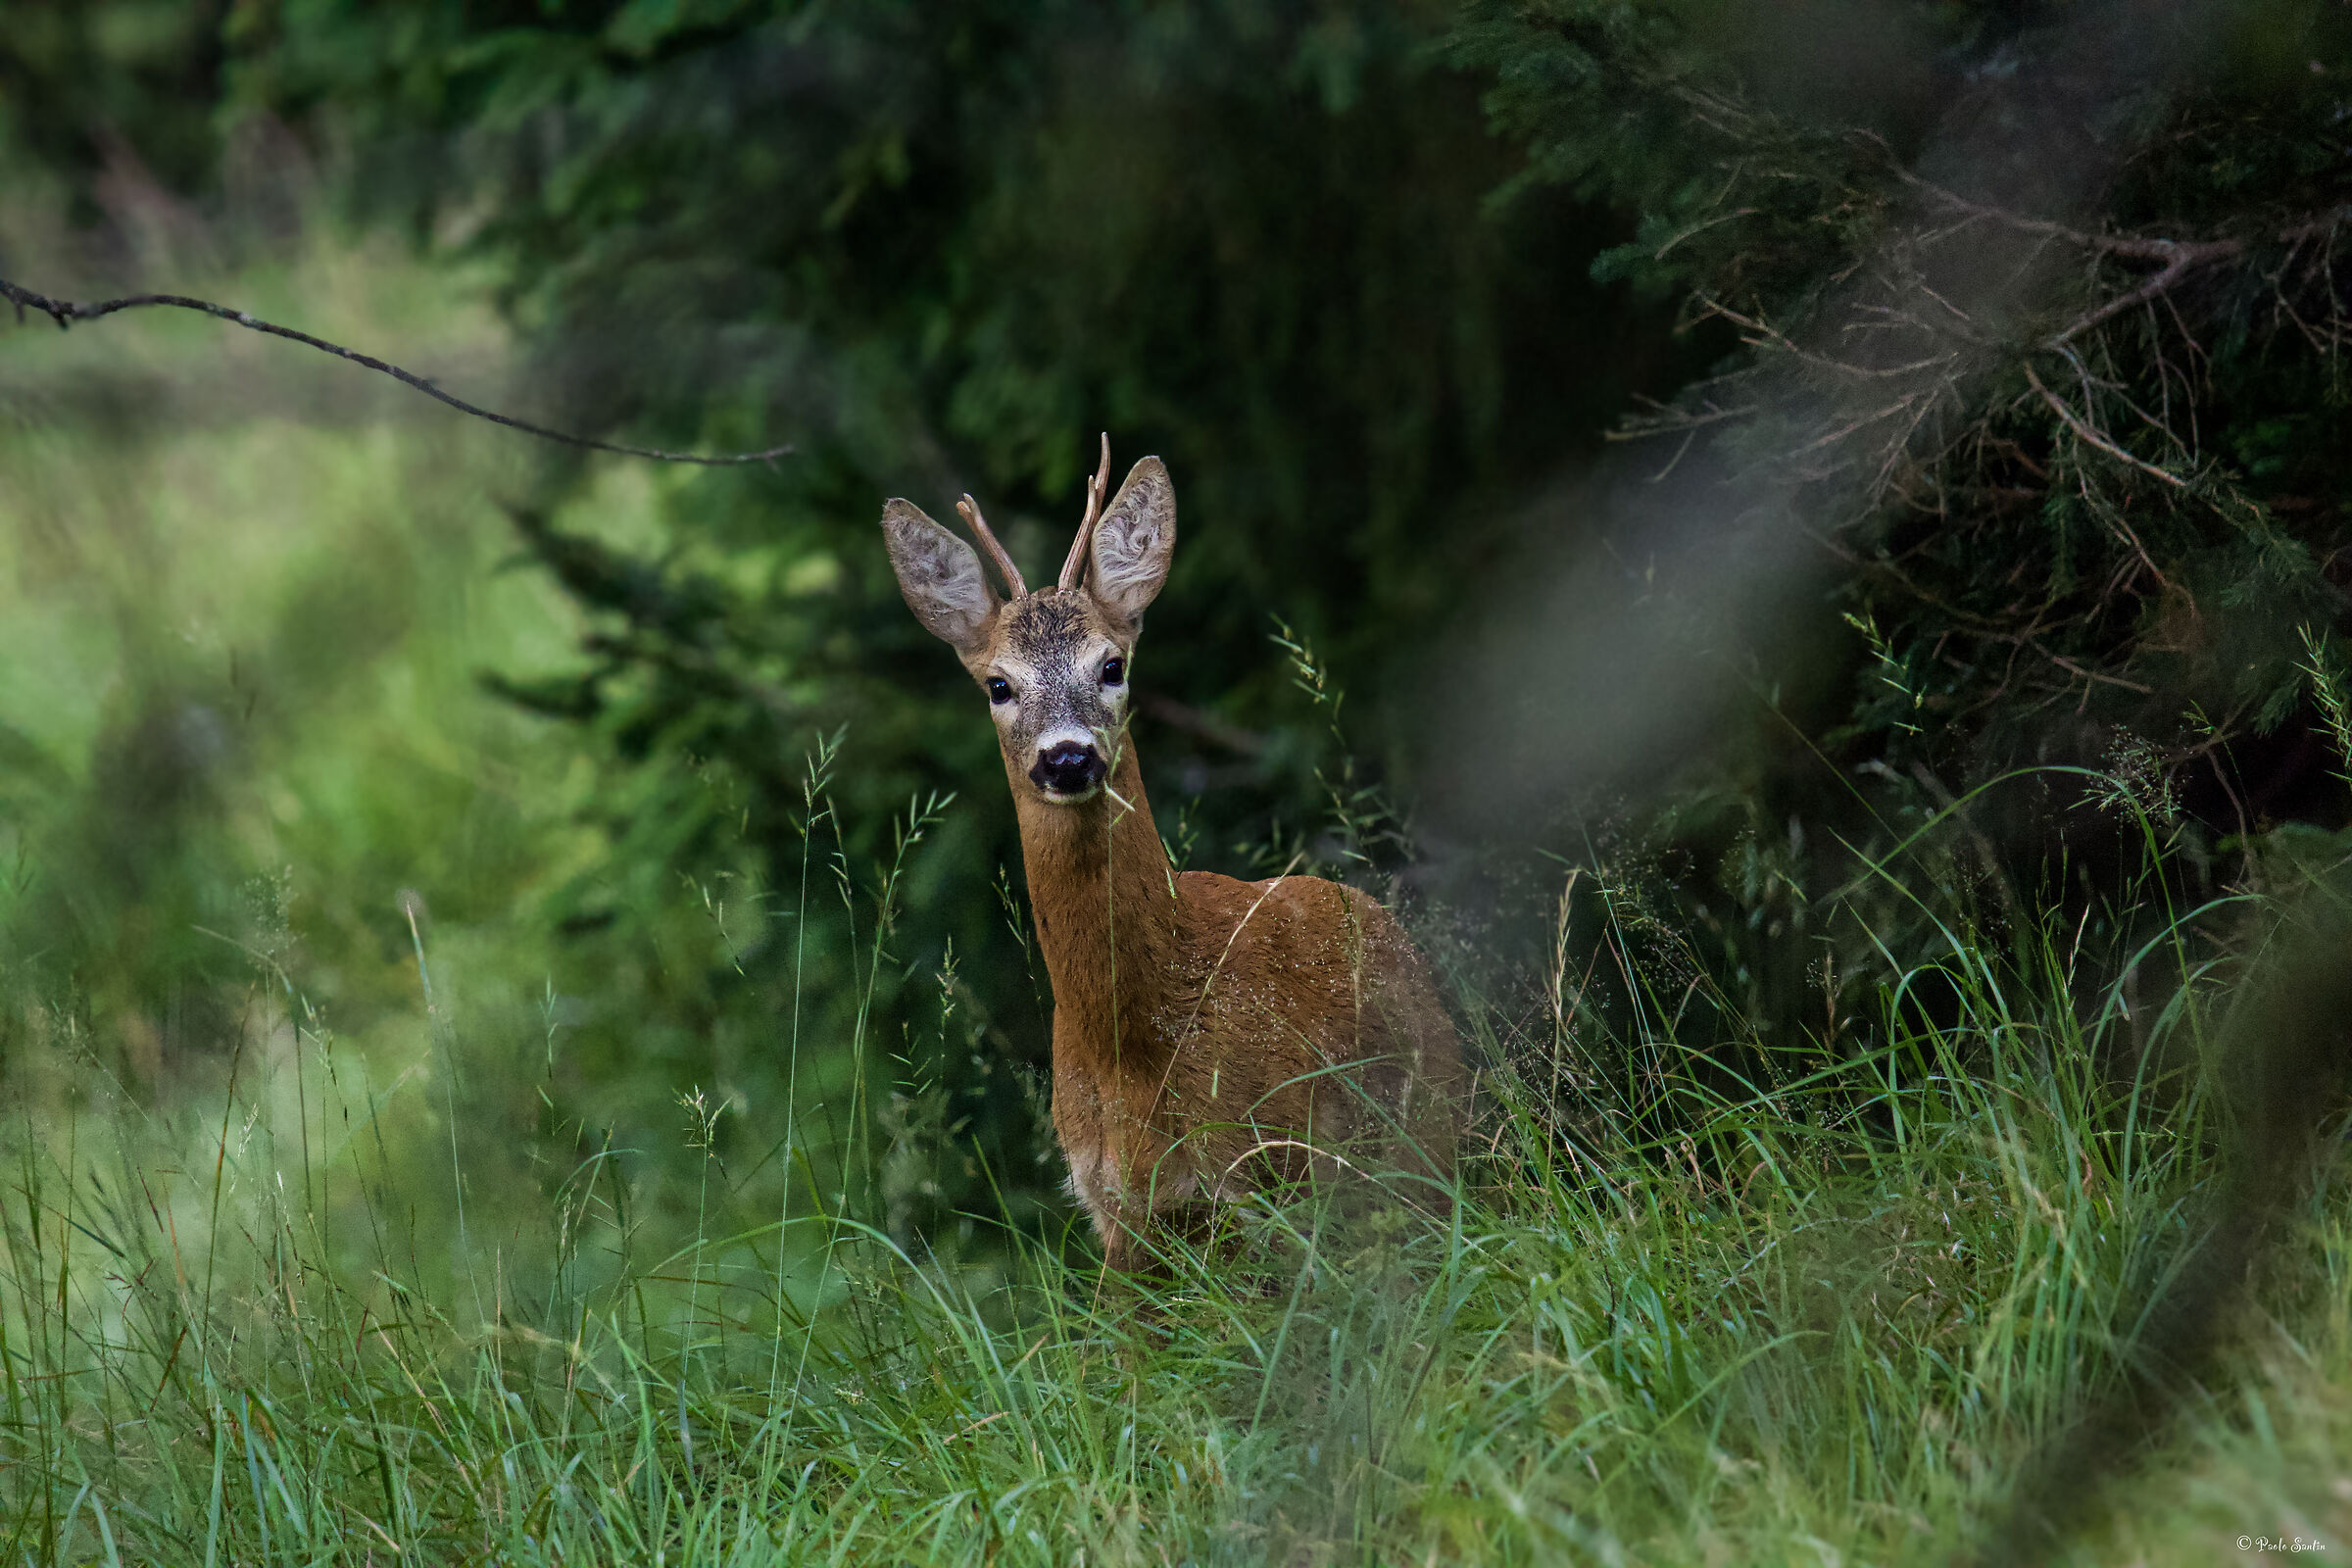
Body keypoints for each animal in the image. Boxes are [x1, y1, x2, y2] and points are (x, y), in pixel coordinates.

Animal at [879, 438, 1463, 1269]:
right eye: (997, 683)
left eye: (1111, 665)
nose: (1068, 758)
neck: (1134, 1047)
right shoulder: (1112, 1209)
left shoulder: (1268, 1172)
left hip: (1424, 1139)